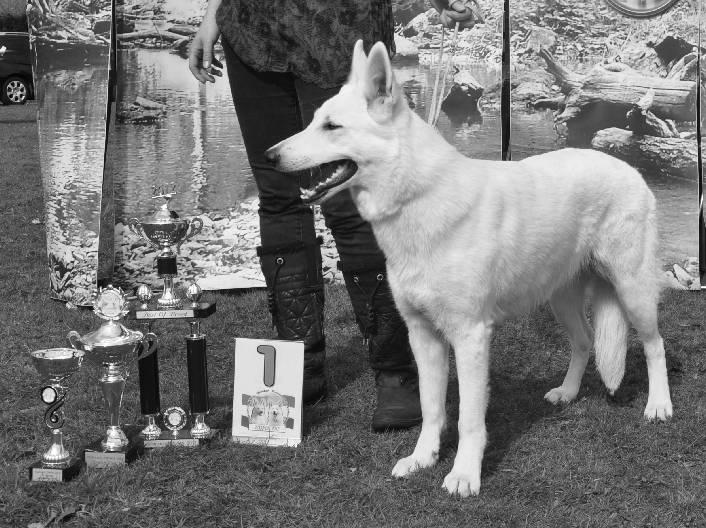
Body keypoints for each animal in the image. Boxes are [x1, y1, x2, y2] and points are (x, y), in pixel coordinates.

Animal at [264, 40, 672, 496]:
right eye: (314, 121)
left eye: (331, 126)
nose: (268, 156)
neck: (418, 197)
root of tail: (629, 169)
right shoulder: (423, 336)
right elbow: (431, 409)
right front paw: (422, 459)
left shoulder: (471, 337)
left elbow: (468, 420)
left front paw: (463, 475)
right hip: (561, 299)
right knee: (584, 342)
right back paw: (567, 393)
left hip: (632, 290)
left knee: (655, 345)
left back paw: (659, 406)